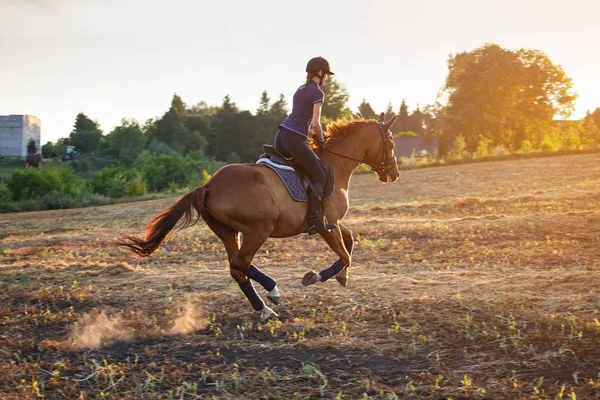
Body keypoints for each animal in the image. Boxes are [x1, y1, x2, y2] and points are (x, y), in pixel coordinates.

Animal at [118, 114, 400, 320]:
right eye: (391, 143)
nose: (394, 174)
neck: (335, 165)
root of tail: (208, 186)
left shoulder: (333, 224)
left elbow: (350, 243)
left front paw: (342, 276)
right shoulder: (325, 226)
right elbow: (344, 255)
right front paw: (315, 276)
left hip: (229, 233)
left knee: (237, 269)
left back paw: (264, 307)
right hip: (258, 229)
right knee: (241, 263)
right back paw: (272, 290)